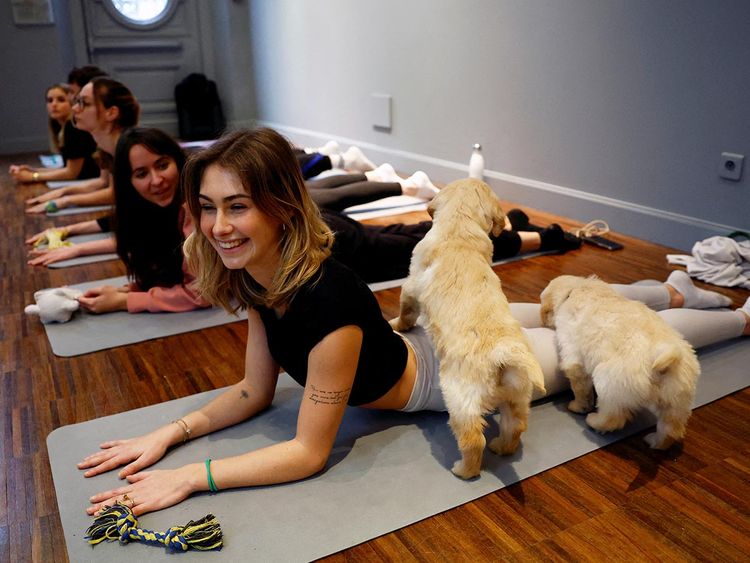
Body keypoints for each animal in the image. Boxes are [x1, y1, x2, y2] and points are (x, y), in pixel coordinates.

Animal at [394, 178, 548, 478]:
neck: (459, 228)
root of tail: (504, 354)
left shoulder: (411, 284)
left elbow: (407, 309)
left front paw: (397, 325)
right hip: (518, 395)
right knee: (515, 426)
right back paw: (502, 447)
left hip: (459, 396)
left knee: (473, 439)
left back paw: (464, 470)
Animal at [544, 276, 704, 452]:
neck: (577, 287)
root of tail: (663, 354)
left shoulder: (572, 354)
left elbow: (580, 389)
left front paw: (577, 406)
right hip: (678, 399)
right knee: (671, 430)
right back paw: (655, 442)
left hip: (609, 382)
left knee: (613, 418)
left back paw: (593, 421)